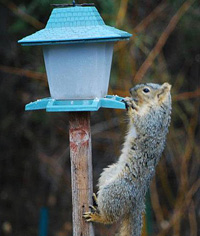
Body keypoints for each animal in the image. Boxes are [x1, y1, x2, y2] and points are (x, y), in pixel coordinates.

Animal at [83, 82, 172, 235]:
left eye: (146, 90)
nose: (130, 91)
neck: (154, 105)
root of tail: (137, 199)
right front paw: (130, 102)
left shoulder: (153, 121)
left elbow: (141, 122)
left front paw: (131, 106)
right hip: (108, 174)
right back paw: (96, 201)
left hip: (115, 191)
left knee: (111, 218)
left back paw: (98, 217)